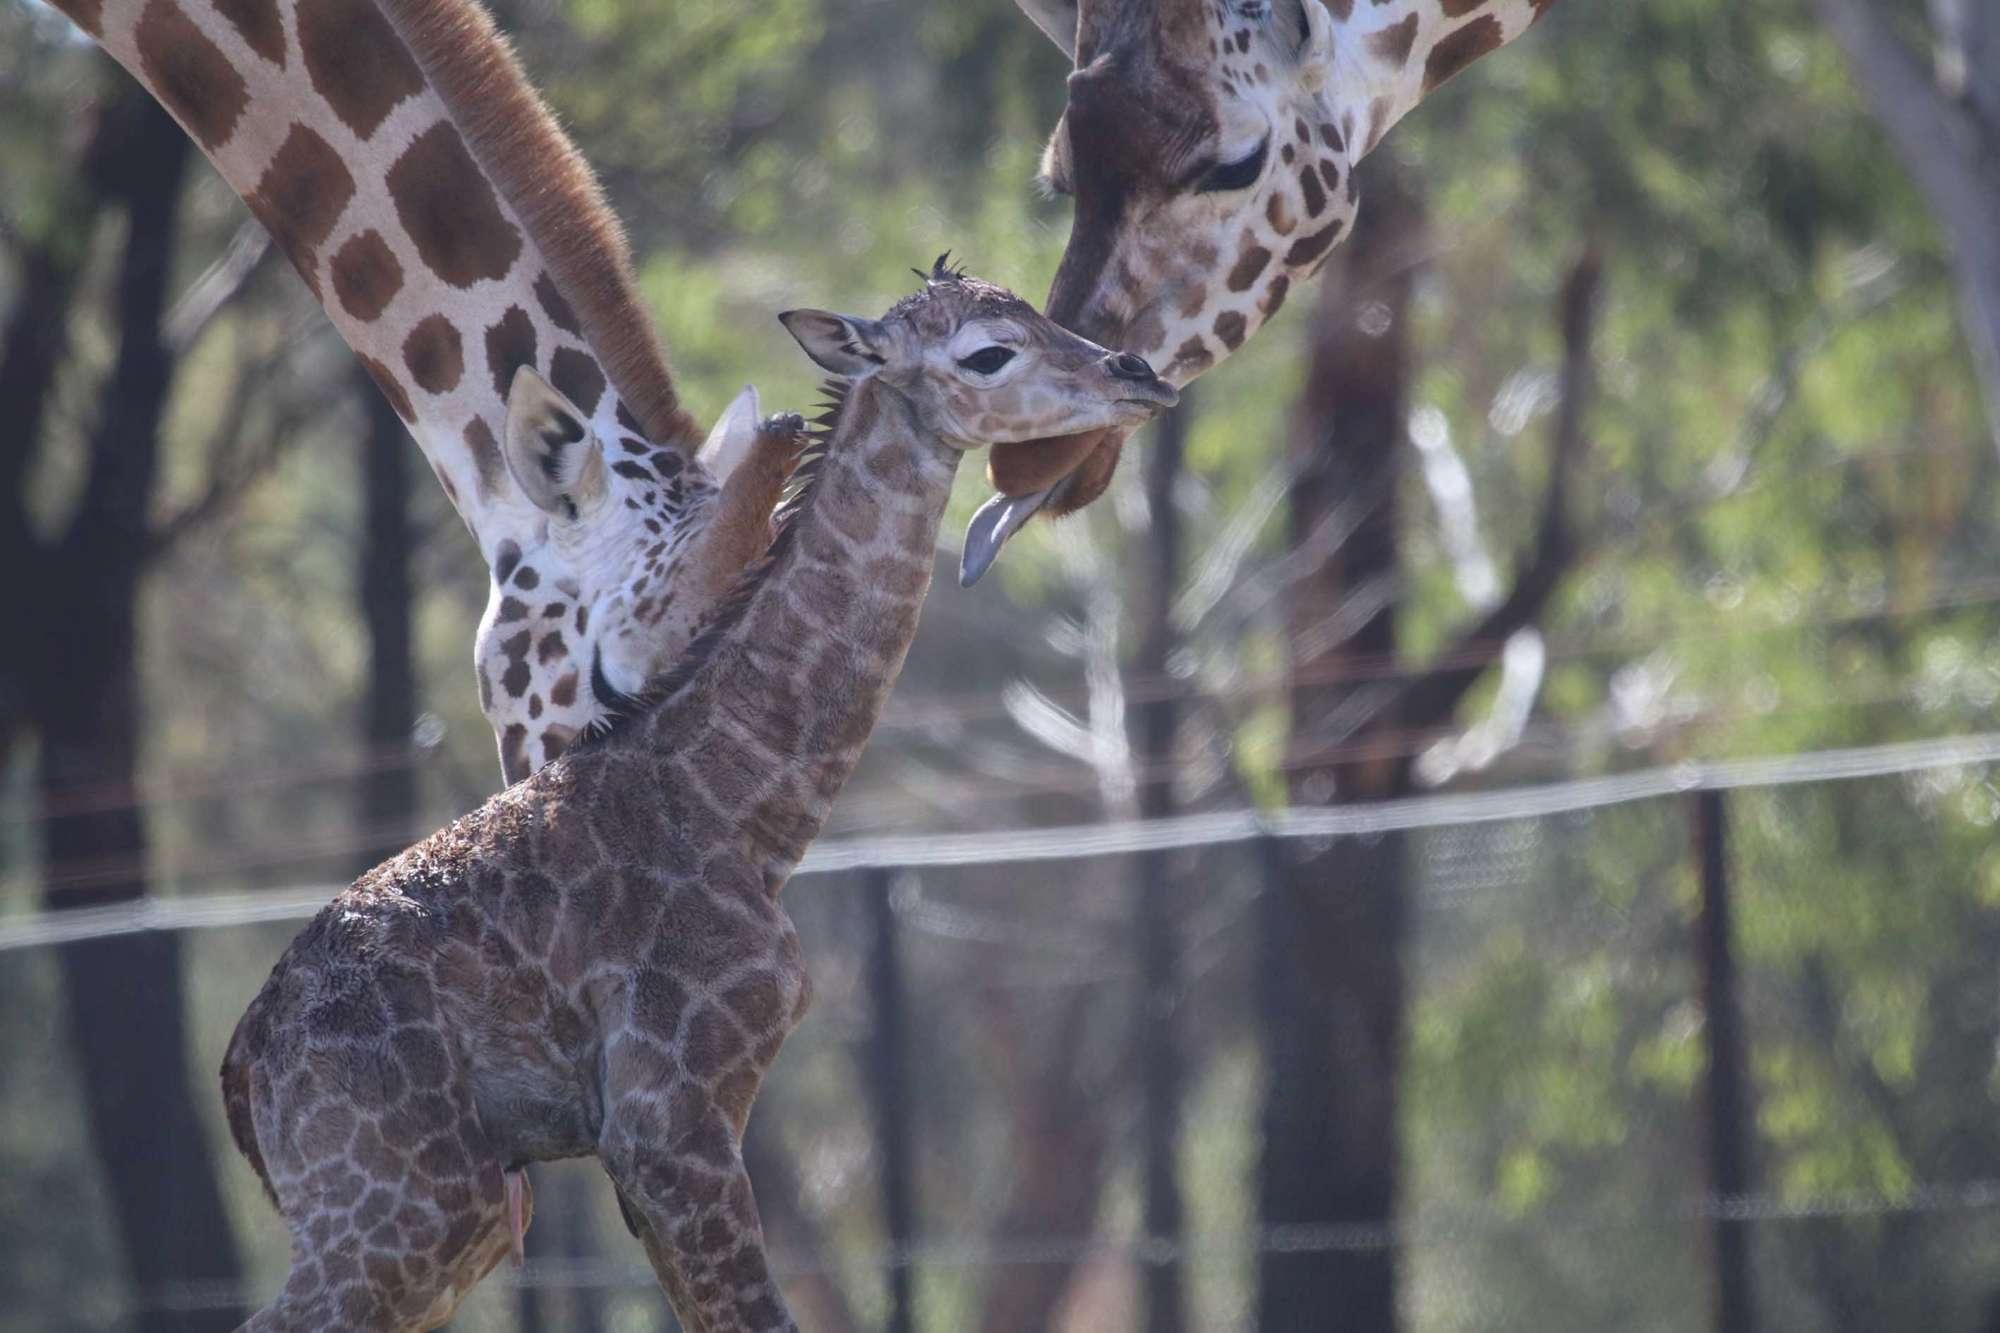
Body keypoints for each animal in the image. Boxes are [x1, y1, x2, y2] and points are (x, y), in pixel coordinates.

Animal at [221, 254, 1176, 1320]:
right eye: (987, 352)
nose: (1139, 372)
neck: (747, 807)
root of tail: (245, 1059)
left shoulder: (659, 1140)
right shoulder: (667, 1116)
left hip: (454, 1213)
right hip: (407, 1207)